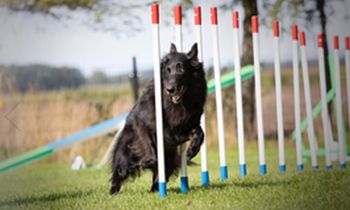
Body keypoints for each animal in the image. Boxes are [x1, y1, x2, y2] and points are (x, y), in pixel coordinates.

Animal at [110, 43, 206, 195]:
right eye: (168, 70)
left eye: (181, 69)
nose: (169, 89)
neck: (176, 104)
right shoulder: (142, 123)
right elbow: (149, 146)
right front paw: (148, 160)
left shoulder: (182, 129)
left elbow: (200, 132)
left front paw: (193, 150)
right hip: (124, 157)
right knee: (119, 173)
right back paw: (113, 191)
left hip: (170, 159)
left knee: (160, 175)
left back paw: (156, 188)